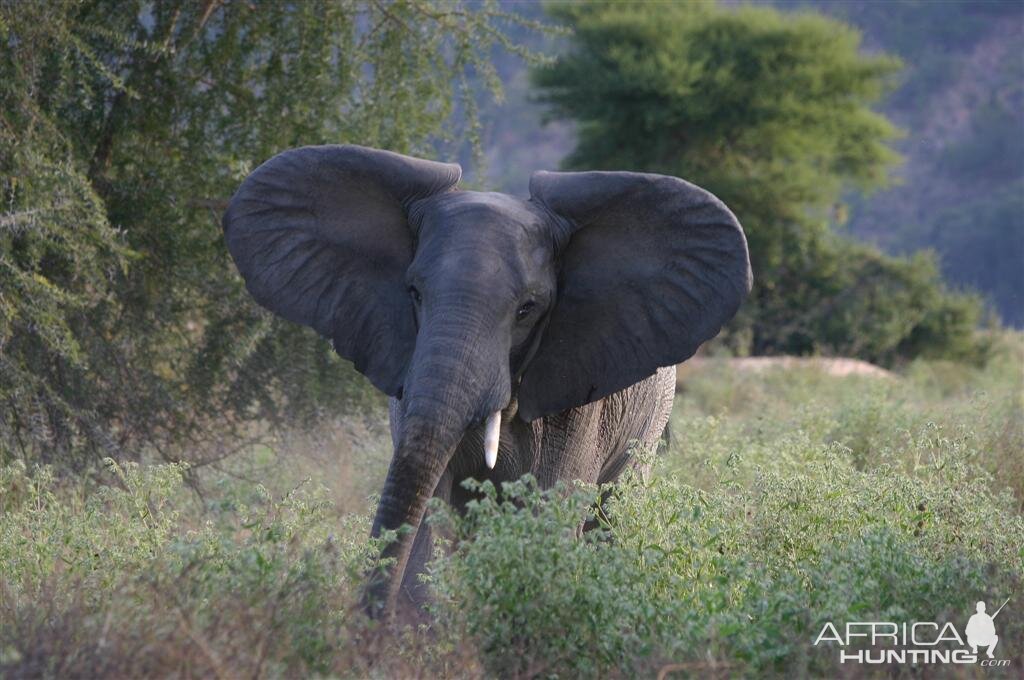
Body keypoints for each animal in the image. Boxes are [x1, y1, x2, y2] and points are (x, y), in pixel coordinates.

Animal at [222, 144, 753, 614]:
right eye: (414, 293)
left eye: (527, 309)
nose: (363, 623)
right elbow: (429, 511)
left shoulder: (580, 397)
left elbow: (550, 511)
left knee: (612, 511)